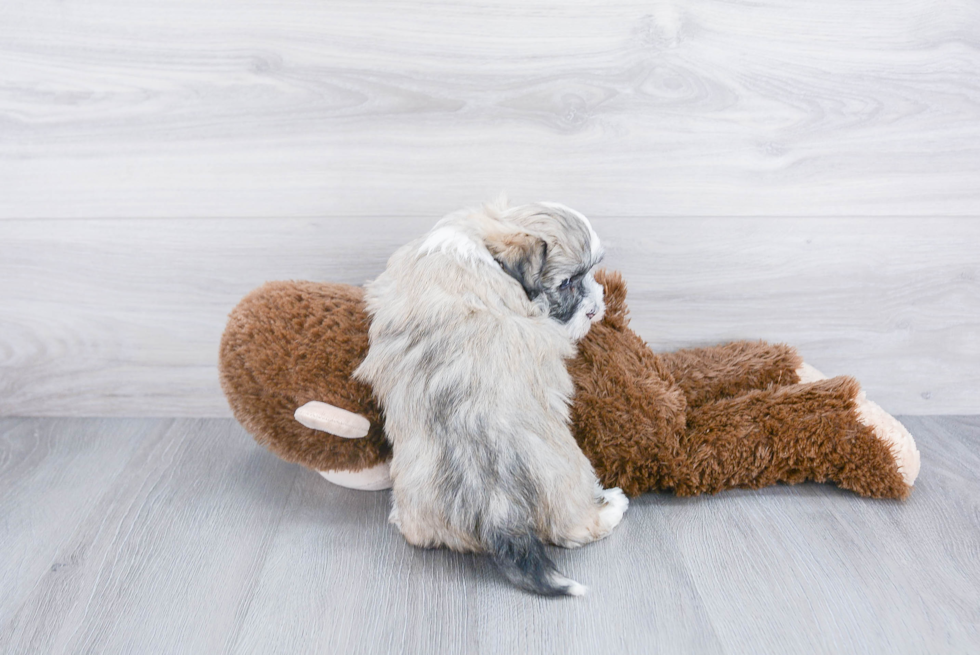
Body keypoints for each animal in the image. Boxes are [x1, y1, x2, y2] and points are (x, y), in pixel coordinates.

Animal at [352, 199, 628, 596]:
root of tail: (498, 510)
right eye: (568, 283)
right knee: (575, 529)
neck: (483, 240)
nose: (596, 309)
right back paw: (610, 507)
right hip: (572, 476)